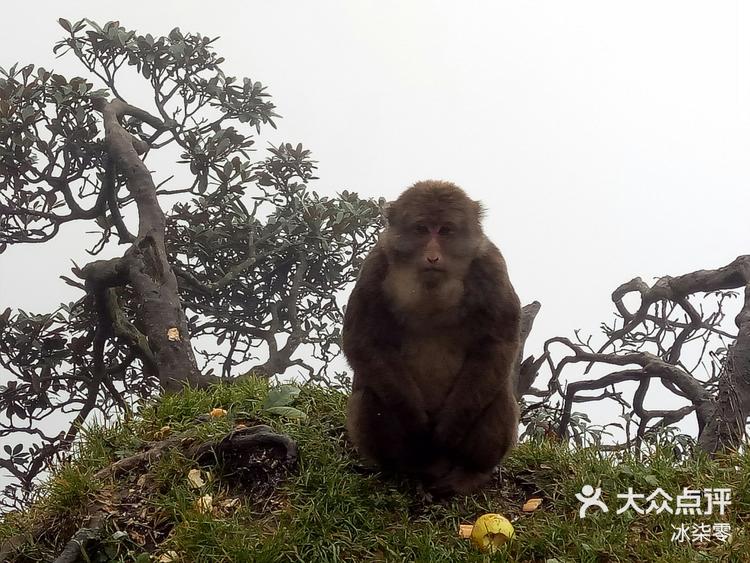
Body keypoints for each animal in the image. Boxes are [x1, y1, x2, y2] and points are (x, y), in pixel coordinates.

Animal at [344, 181, 520, 498]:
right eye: (422, 229)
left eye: (446, 230)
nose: (433, 257)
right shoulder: (376, 264)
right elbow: (363, 340)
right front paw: (417, 425)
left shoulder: (492, 266)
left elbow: (497, 343)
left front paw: (447, 431)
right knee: (372, 391)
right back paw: (400, 471)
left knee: (496, 392)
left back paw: (470, 472)